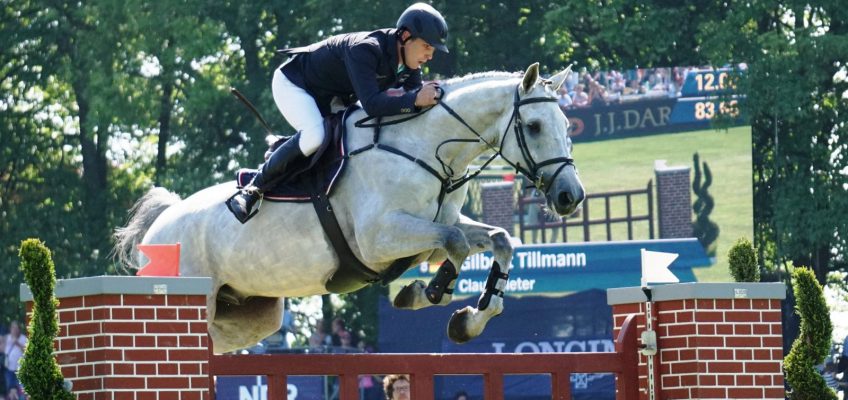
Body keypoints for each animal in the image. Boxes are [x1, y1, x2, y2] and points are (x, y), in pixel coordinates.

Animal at [116, 61, 588, 352]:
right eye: (534, 125)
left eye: (567, 125)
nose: (571, 196)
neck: (426, 148)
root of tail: (160, 224)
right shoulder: (380, 239)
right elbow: (455, 243)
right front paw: (426, 292)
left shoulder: (434, 227)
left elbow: (499, 239)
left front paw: (468, 319)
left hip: (253, 315)